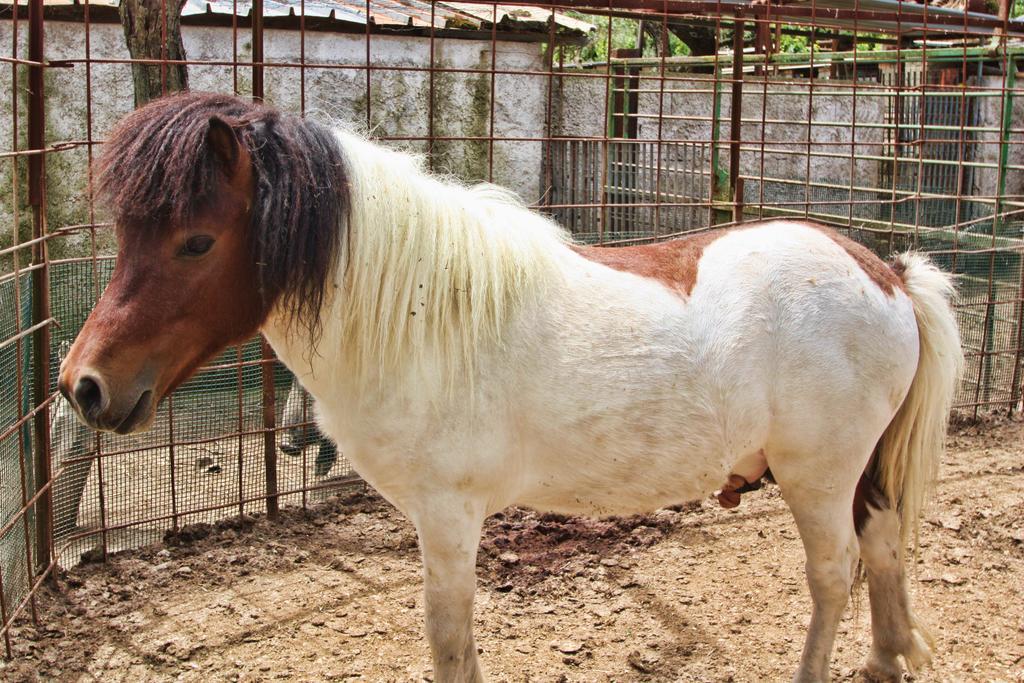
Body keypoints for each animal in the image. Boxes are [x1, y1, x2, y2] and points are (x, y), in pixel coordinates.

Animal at [59, 92, 962, 683]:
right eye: (129, 233)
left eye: (196, 241)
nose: (83, 385)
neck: (422, 313)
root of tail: (884, 270)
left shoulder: (449, 515)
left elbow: (450, 644)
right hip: (856, 471)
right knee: (883, 543)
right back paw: (887, 659)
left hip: (818, 475)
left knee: (836, 571)